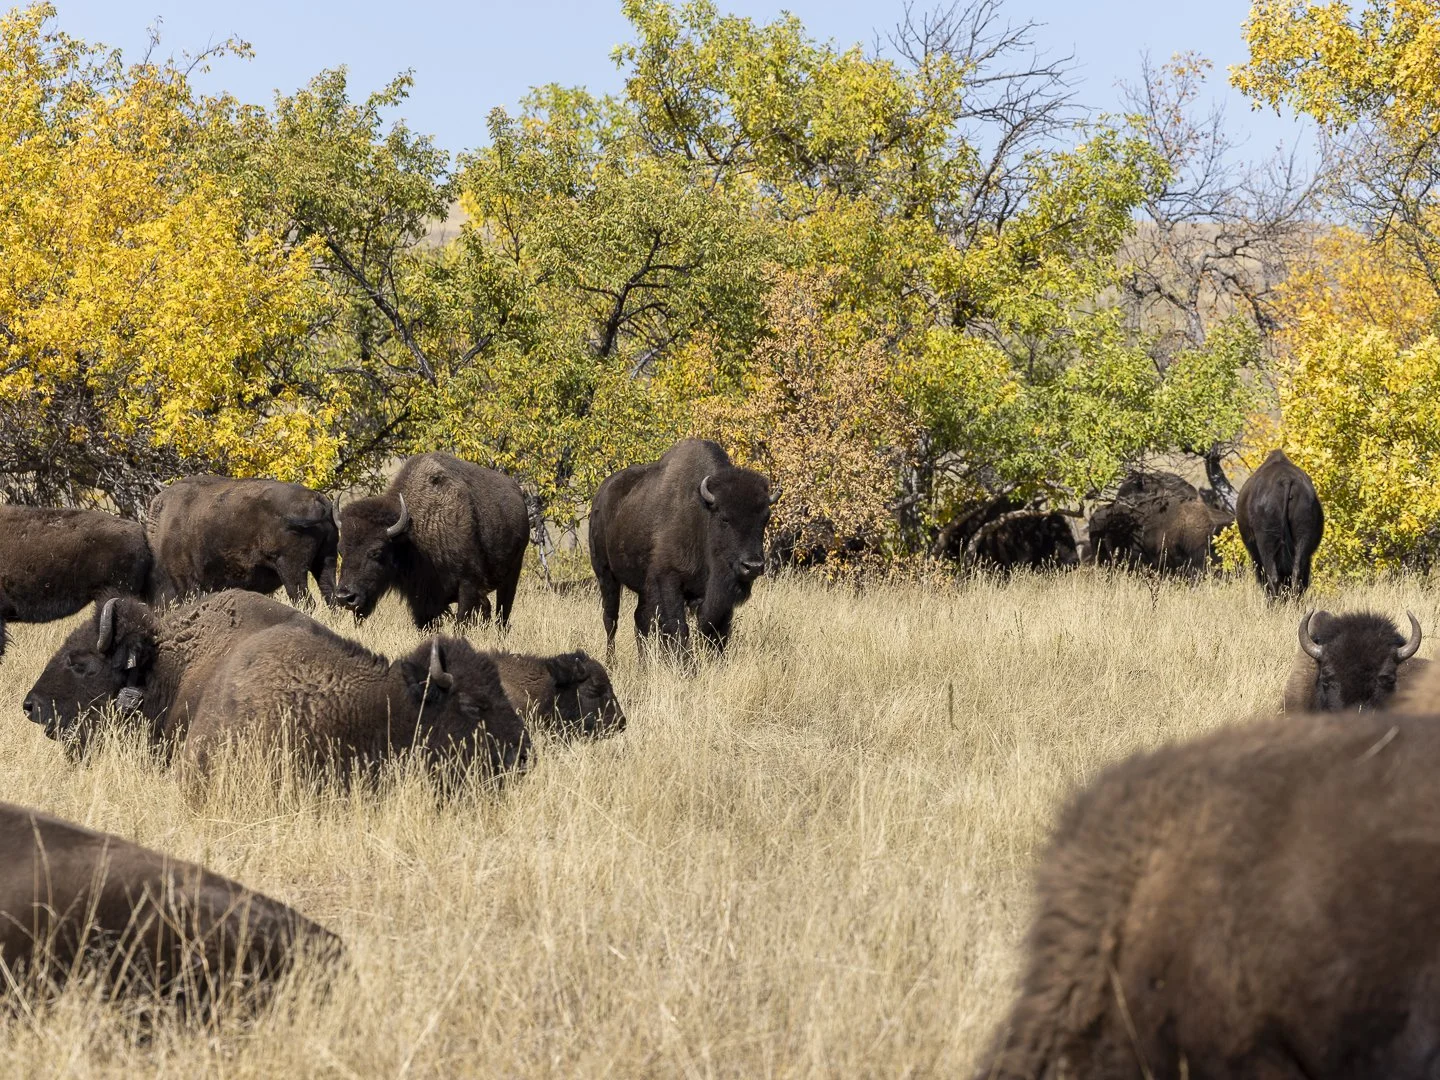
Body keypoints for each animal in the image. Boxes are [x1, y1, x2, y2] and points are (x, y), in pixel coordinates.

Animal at [147, 475, 338, 607]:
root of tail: (319, 499)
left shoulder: (186, 582)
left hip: (292, 569)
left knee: (305, 601)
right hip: (326, 561)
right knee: (331, 596)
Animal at [336, 453, 528, 629]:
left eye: (376, 551)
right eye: (341, 550)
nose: (345, 597)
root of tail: (519, 494)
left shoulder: (468, 585)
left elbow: (461, 622)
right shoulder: (421, 598)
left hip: (511, 576)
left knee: (503, 615)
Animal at [589, 439, 778, 658]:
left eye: (765, 519)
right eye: (725, 518)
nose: (753, 566)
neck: (704, 512)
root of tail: (600, 496)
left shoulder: (716, 598)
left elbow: (717, 632)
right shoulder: (669, 581)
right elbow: (677, 628)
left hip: (642, 588)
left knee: (639, 621)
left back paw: (643, 663)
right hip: (606, 575)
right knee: (611, 620)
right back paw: (611, 661)